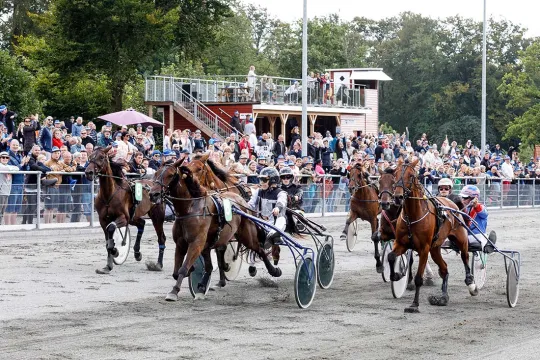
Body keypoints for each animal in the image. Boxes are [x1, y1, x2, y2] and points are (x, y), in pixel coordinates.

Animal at [84, 145, 167, 274]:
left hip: (156, 217)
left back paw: (158, 264)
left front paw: (116, 250)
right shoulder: (103, 220)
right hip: (133, 217)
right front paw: (108, 266)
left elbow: (111, 228)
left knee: (161, 238)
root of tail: (154, 184)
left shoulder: (123, 217)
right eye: (90, 157)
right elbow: (107, 239)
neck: (109, 194)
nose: (88, 172)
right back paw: (137, 253)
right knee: (142, 223)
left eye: (101, 157)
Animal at [148, 159, 282, 302]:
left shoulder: (196, 243)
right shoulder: (181, 243)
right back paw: (202, 287)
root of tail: (242, 202)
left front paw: (174, 291)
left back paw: (274, 271)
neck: (190, 209)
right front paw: (193, 274)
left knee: (260, 250)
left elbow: (183, 269)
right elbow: (176, 272)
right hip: (211, 243)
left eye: (171, 175)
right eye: (156, 173)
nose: (153, 194)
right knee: (210, 266)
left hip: (247, 236)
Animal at [388, 158, 476, 312]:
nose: (398, 197)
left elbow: (419, 278)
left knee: (465, 256)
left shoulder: (424, 249)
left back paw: (471, 283)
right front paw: (397, 275)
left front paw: (414, 304)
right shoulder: (401, 243)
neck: (412, 217)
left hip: (461, 239)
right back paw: (443, 297)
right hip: (435, 248)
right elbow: (391, 256)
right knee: (444, 269)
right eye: (395, 174)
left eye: (411, 175)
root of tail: (452, 202)